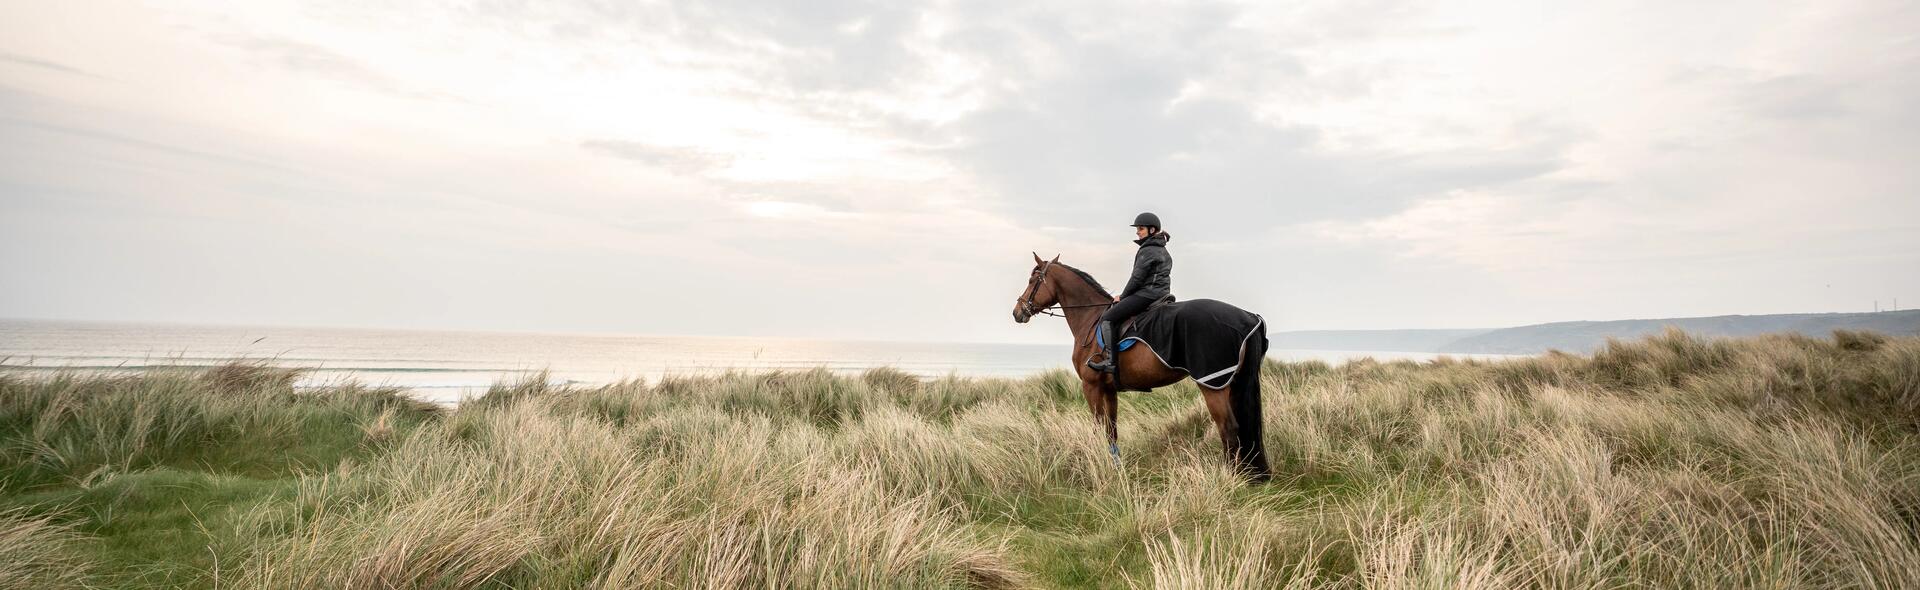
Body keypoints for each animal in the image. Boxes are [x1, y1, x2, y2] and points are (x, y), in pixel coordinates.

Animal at [1006, 253, 1274, 486]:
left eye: (1032, 280)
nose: (1017, 312)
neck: (1090, 318)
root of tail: (1248, 316)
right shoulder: (1109, 389)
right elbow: (1111, 430)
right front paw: (1116, 467)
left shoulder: (1091, 386)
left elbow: (1098, 428)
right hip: (1233, 382)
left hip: (1213, 384)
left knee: (1228, 428)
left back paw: (1230, 477)